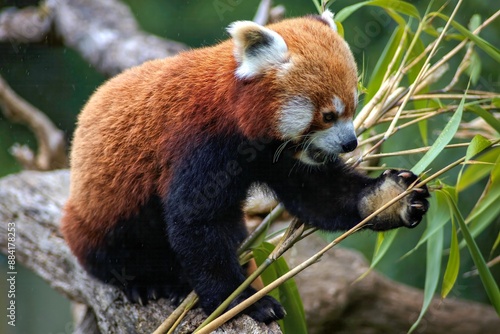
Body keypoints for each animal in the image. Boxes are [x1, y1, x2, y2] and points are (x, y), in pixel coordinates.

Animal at [61, 11, 430, 324]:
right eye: (328, 115)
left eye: (353, 108)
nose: (350, 143)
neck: (236, 115)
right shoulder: (200, 142)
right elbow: (197, 222)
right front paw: (242, 301)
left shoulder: (276, 155)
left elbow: (318, 193)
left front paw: (389, 199)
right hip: (98, 216)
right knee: (112, 249)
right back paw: (147, 282)